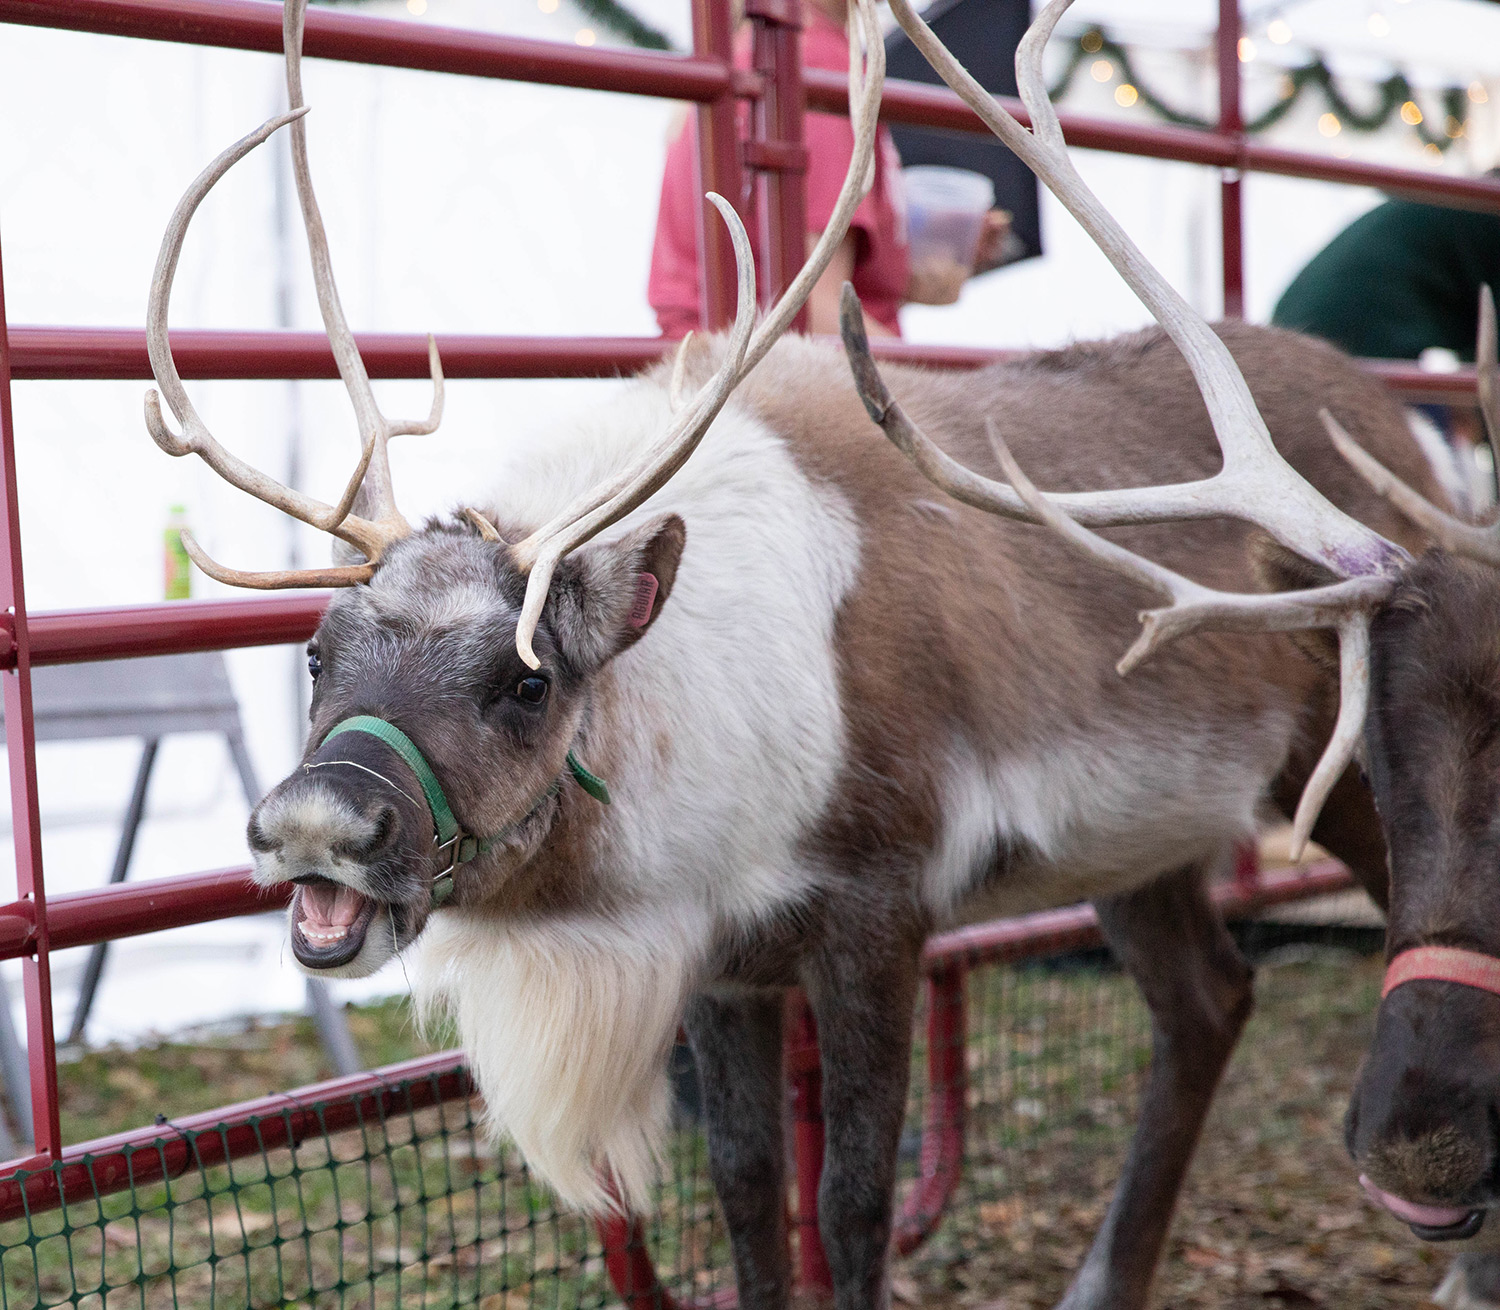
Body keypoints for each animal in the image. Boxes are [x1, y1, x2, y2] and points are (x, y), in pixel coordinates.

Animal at [139, 0, 1500, 1306]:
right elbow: (748, 1186)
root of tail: (1394, 426)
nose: (317, 820)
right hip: (1144, 835)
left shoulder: (875, 915)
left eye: (526, 680)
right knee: (1209, 998)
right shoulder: (725, 963)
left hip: (1338, 779)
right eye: (318, 653)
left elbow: (848, 1199)